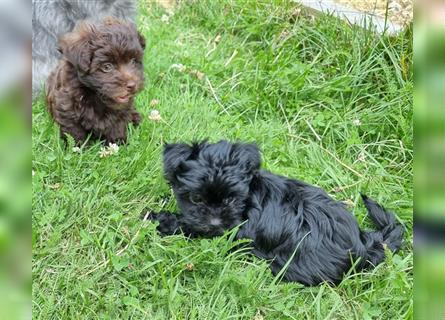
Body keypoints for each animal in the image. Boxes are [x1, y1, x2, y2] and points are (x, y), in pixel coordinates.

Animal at [148, 140, 402, 284]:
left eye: (231, 199)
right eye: (196, 198)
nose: (214, 222)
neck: (249, 198)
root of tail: (365, 244)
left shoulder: (233, 233)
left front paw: (161, 220)